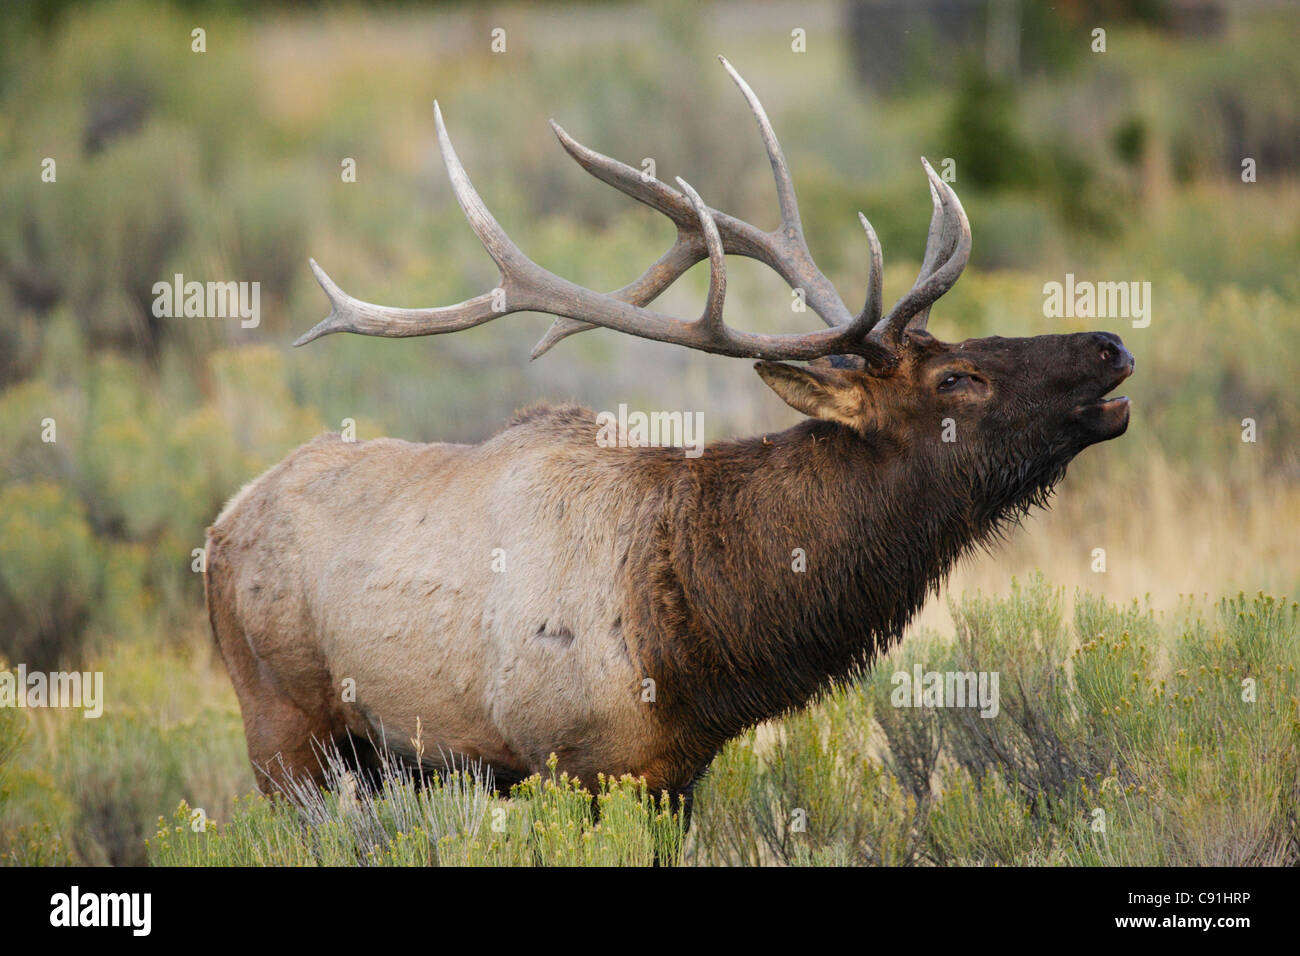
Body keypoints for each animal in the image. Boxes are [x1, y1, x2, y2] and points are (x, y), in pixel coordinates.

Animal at [208, 59, 1133, 822]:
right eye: (956, 379)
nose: (1110, 346)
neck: (702, 650)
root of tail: (219, 524)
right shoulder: (576, 761)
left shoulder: (676, 776)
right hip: (285, 730)